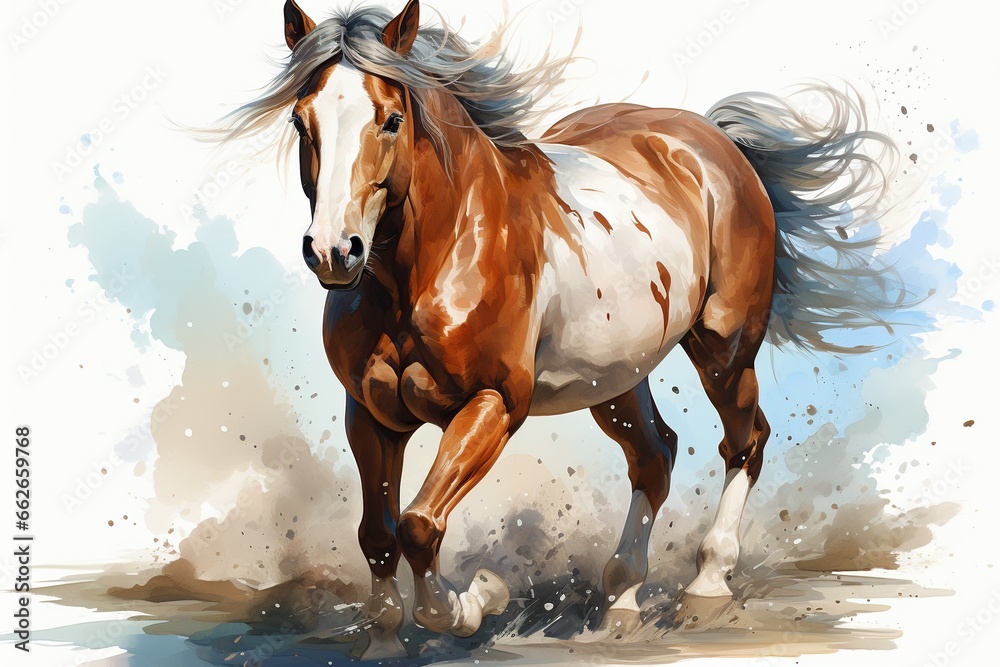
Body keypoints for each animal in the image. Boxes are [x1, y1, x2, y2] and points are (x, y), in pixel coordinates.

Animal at [219, 0, 904, 658]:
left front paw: (477, 601)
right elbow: (379, 535)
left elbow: (419, 526)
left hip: (723, 349)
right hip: (616, 378)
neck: (436, 257)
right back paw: (621, 602)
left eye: (390, 119)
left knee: (745, 441)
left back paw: (705, 587)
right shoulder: (370, 414)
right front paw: (384, 641)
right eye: (300, 121)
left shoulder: (494, 404)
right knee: (654, 456)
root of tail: (711, 141)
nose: (334, 252)